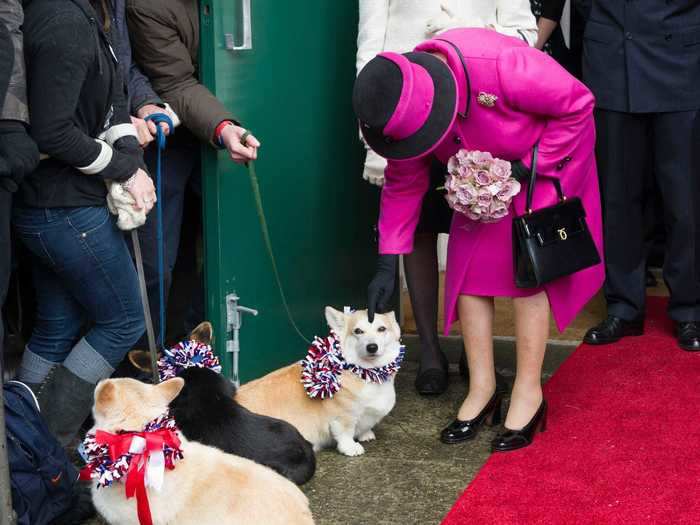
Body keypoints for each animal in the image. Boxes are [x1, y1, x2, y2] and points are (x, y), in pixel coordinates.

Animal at [235, 308, 402, 454]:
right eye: (358, 331)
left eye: (382, 329)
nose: (372, 347)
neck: (368, 372)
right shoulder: (342, 417)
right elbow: (345, 433)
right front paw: (351, 448)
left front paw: (366, 434)